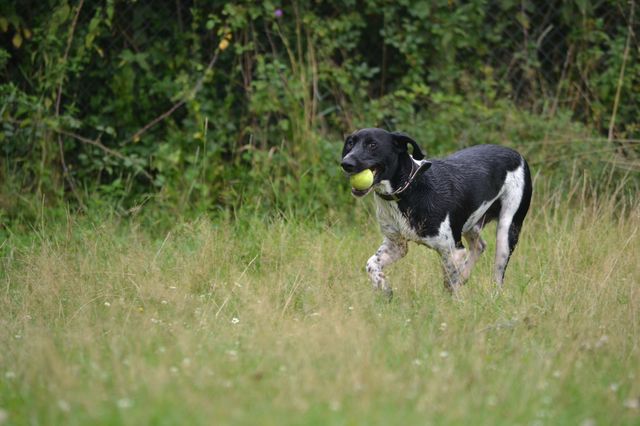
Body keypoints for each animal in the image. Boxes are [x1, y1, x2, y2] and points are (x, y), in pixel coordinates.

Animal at [342, 128, 532, 298]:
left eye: (372, 145)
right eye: (350, 144)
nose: (346, 163)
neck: (409, 188)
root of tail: (518, 155)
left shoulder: (452, 251)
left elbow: (449, 283)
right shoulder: (396, 245)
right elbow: (371, 264)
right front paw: (383, 286)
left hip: (506, 232)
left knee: (497, 277)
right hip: (470, 222)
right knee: (479, 246)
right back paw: (465, 275)